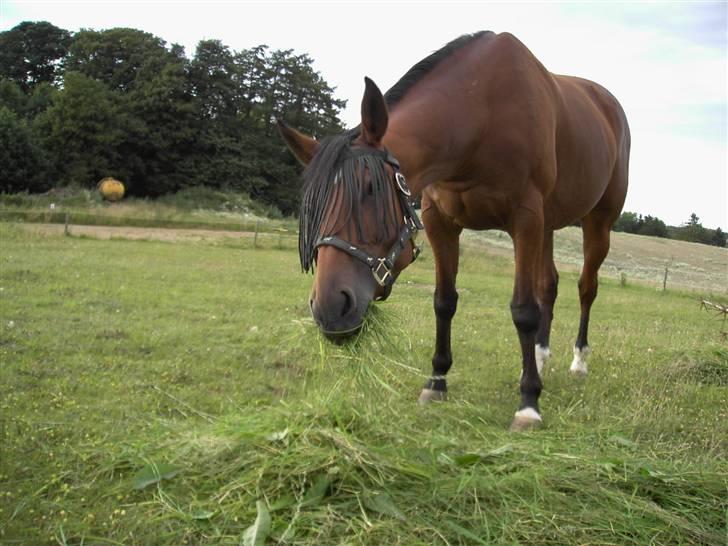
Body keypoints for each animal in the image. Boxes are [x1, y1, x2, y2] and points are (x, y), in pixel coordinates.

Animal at [276, 30, 628, 430]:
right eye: (313, 205)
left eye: (369, 189)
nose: (330, 308)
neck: (481, 116)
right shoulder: (439, 221)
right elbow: (444, 302)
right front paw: (437, 382)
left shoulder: (525, 219)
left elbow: (523, 310)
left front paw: (528, 403)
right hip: (549, 224)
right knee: (548, 285)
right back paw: (539, 358)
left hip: (597, 222)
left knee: (586, 288)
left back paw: (578, 361)